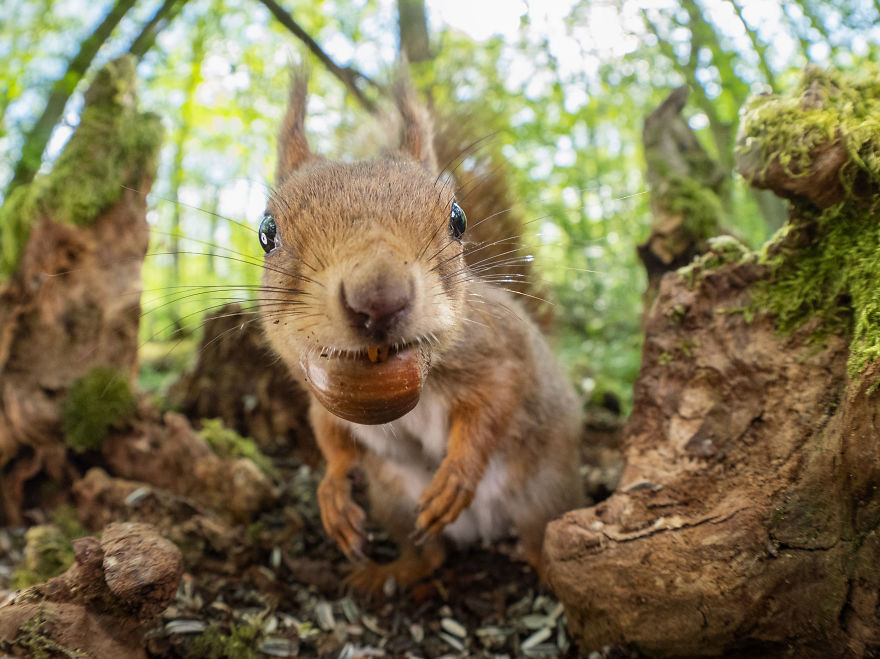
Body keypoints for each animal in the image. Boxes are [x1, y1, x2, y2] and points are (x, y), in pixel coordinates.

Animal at [258, 69, 580, 596]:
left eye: (458, 219)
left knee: (540, 542)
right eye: (267, 233)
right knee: (429, 557)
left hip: (545, 493)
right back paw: (387, 572)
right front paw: (332, 492)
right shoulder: (318, 395)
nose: (379, 299)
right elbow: (330, 437)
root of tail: (483, 531)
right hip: (393, 500)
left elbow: (495, 402)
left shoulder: (496, 353)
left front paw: (457, 474)